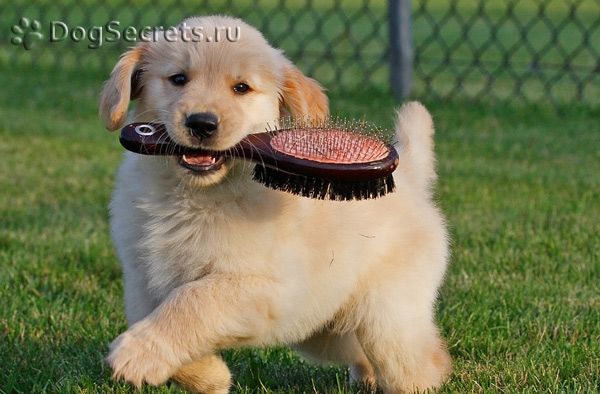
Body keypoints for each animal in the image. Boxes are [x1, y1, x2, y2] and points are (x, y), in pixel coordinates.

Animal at [98, 13, 450, 392]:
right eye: (178, 79)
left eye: (241, 88)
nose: (201, 123)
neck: (193, 195)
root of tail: (409, 174)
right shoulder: (142, 277)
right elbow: (151, 314)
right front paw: (209, 376)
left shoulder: (267, 288)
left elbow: (194, 302)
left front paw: (136, 354)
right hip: (323, 325)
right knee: (356, 347)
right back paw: (367, 377)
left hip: (386, 316)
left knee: (422, 362)